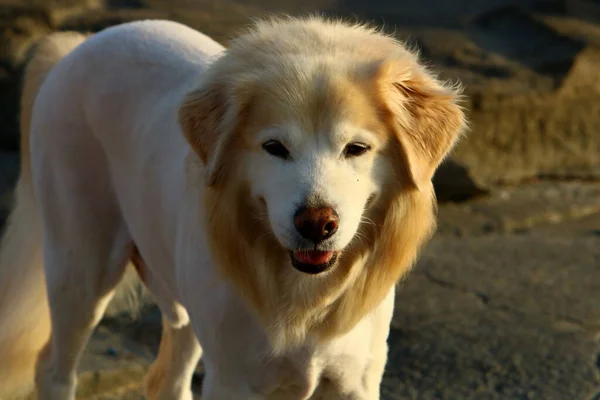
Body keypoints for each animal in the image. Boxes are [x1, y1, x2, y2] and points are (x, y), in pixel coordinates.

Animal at [0, 16, 466, 400]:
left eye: (357, 148)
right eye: (274, 147)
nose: (317, 224)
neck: (301, 296)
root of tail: (81, 44)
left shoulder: (356, 383)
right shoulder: (235, 381)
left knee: (166, 380)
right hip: (81, 270)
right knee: (53, 369)